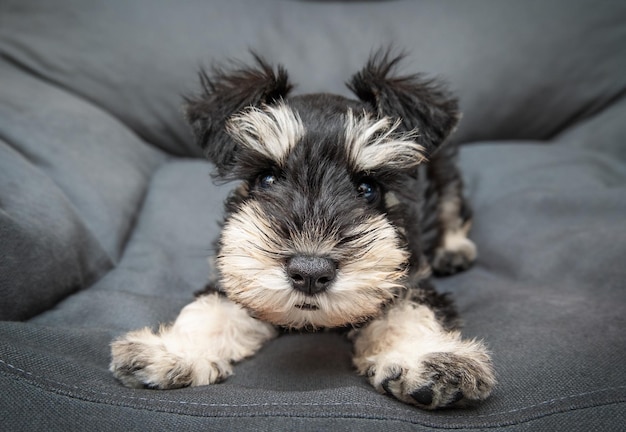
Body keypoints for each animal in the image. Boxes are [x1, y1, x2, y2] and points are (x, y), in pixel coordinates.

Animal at [109, 51, 494, 408]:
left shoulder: (408, 279)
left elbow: (410, 313)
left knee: (452, 206)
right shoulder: (234, 274)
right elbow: (210, 310)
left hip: (444, 168)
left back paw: (453, 250)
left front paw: (428, 359)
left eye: (368, 188)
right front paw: (171, 350)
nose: (310, 272)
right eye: (266, 178)